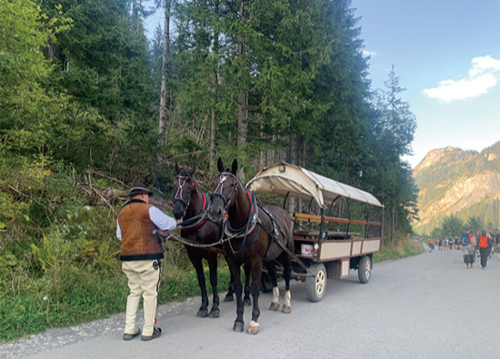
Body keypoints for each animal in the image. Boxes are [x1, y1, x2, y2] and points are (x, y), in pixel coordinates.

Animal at [172, 165, 250, 320]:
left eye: (189, 188)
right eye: (174, 185)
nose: (177, 212)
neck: (200, 221)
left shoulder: (211, 254)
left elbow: (213, 279)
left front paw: (214, 307)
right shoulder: (193, 255)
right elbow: (201, 279)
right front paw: (203, 306)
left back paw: (247, 297)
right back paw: (230, 293)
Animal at [207, 159, 292, 336]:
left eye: (232, 184)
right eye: (215, 182)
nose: (215, 211)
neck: (243, 224)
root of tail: (284, 212)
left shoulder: (256, 261)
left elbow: (255, 289)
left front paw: (254, 321)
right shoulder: (232, 260)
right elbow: (238, 288)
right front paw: (239, 320)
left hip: (286, 252)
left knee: (287, 273)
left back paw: (287, 304)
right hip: (270, 256)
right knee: (273, 273)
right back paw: (275, 301)